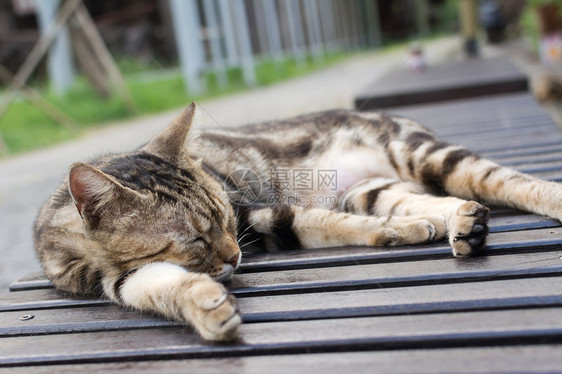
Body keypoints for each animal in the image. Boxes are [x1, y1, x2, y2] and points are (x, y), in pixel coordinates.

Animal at [34, 102, 560, 342]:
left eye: (226, 219)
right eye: (194, 240)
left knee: (511, 181)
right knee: (423, 201)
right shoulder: (120, 279)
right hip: (373, 189)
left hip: (428, 156)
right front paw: (206, 306)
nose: (236, 256)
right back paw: (462, 224)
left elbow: (324, 220)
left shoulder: (257, 212)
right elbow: (161, 287)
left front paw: (401, 234)